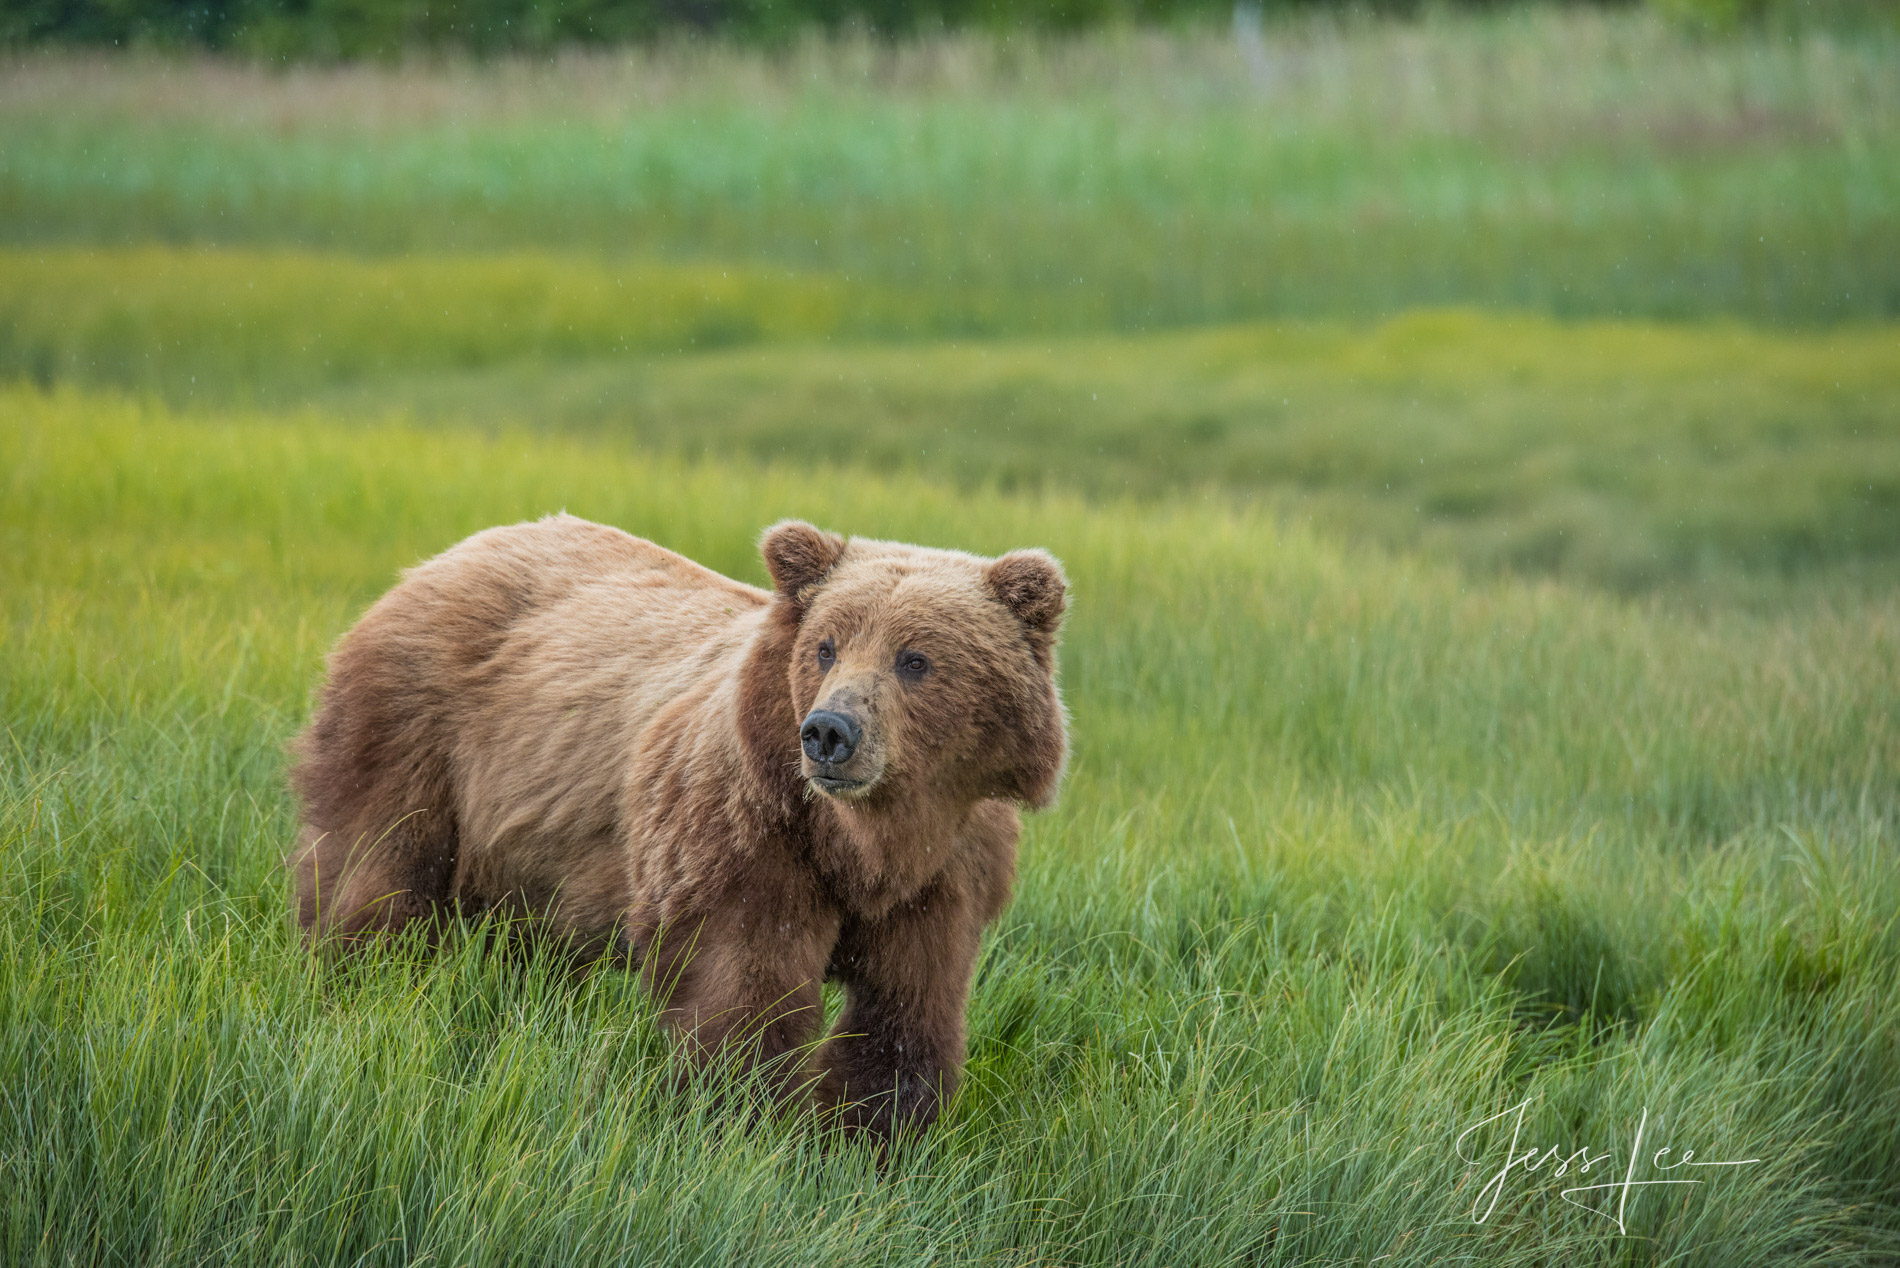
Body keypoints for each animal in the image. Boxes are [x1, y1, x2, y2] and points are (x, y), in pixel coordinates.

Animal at [292, 509, 1071, 1148]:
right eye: (825, 646)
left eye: (916, 659)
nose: (829, 731)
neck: (867, 845)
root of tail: (445, 556)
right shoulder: (747, 832)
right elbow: (743, 990)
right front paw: (743, 1126)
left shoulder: (948, 873)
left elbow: (905, 1013)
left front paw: (868, 1143)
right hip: (418, 733)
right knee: (376, 869)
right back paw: (353, 983)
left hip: (531, 848)